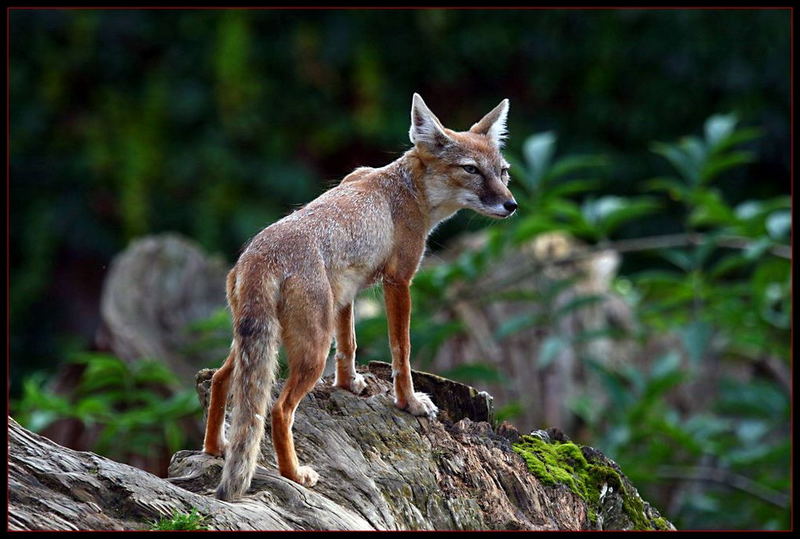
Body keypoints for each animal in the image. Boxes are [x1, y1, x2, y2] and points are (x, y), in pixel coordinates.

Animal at [203, 93, 520, 502]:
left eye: (503, 171)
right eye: (471, 170)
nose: (511, 205)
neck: (406, 190)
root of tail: (260, 256)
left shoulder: (347, 289)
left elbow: (350, 344)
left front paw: (348, 384)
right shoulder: (399, 281)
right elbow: (402, 351)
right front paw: (409, 403)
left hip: (255, 344)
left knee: (220, 380)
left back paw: (216, 448)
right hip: (311, 351)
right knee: (279, 410)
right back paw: (294, 474)